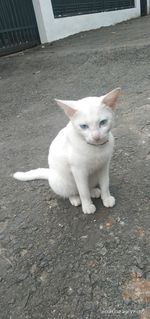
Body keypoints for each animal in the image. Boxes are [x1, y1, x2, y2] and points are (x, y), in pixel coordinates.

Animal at [13, 87, 120, 215]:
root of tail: (50, 173)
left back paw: (93, 191)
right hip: (62, 182)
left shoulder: (104, 166)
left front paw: (106, 198)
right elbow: (83, 191)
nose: (96, 137)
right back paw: (75, 198)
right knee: (72, 191)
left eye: (103, 122)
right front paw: (87, 206)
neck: (96, 148)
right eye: (84, 126)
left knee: (88, 187)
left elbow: (105, 184)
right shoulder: (78, 171)